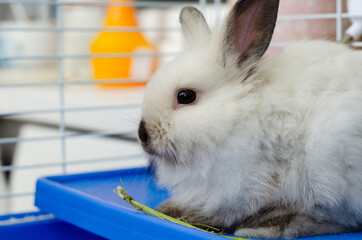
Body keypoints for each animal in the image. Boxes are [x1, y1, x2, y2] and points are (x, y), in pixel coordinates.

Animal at [138, 0, 362, 238]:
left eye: (185, 96)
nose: (142, 134)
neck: (238, 115)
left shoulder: (242, 186)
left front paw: (191, 216)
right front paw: (170, 208)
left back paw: (264, 227)